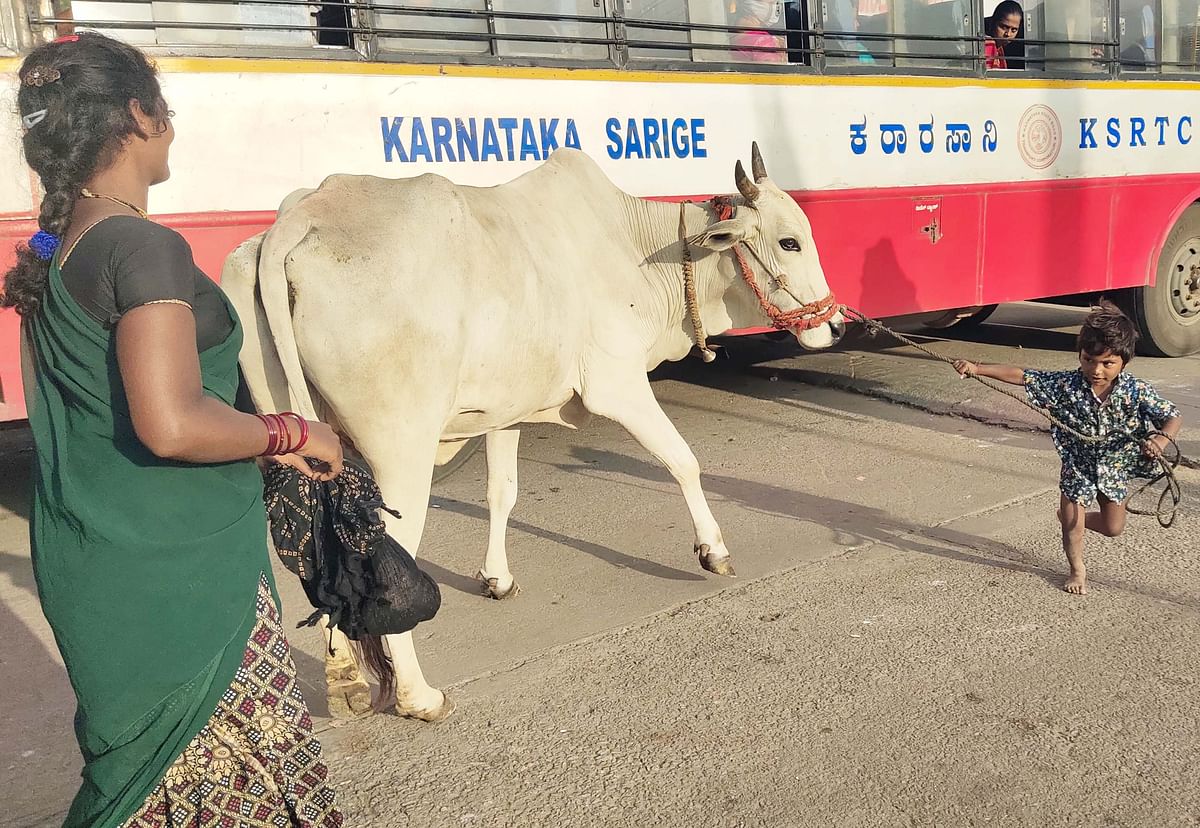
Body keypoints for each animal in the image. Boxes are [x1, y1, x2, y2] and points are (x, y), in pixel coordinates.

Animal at [223, 145, 844, 720]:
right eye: (789, 242)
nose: (836, 324)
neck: (636, 250)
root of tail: (302, 218)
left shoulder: (507, 413)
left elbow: (503, 492)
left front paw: (496, 578)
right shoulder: (617, 385)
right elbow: (683, 460)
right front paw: (713, 550)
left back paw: (346, 676)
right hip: (402, 448)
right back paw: (417, 696)